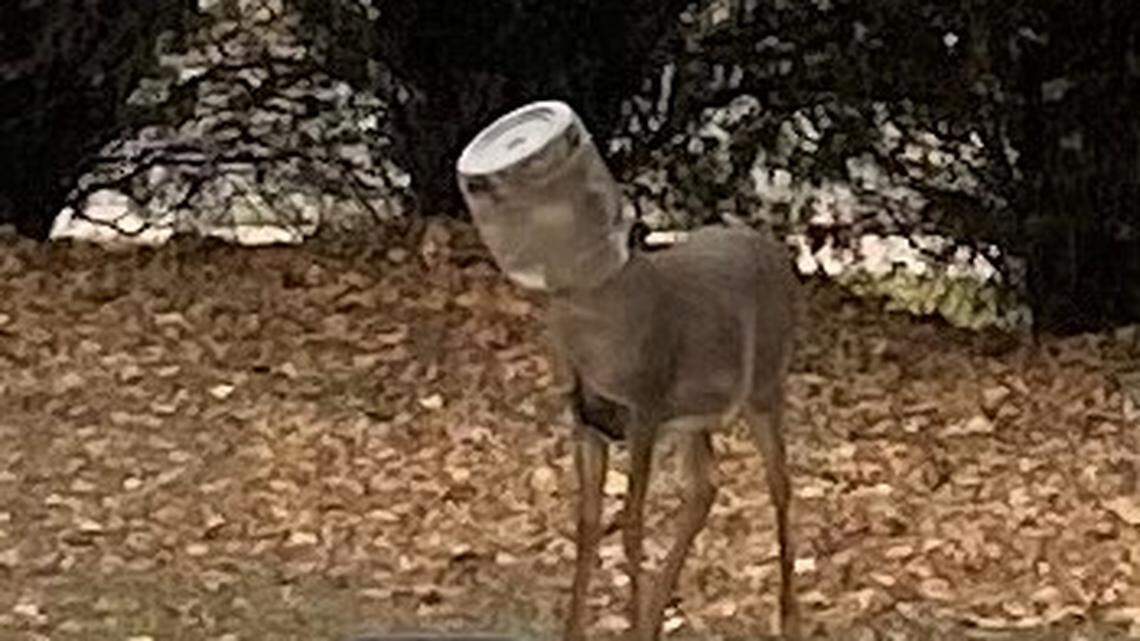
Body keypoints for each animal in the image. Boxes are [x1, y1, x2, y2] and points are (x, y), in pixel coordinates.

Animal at [543, 223, 802, 641]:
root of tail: (778, 256)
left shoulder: (645, 413)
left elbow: (632, 523)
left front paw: (632, 628)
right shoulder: (585, 426)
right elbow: (588, 522)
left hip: (764, 384)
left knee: (780, 483)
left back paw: (789, 616)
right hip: (695, 417)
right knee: (705, 485)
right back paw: (655, 616)